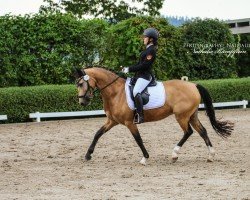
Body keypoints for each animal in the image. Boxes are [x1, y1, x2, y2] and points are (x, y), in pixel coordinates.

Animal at [75, 66, 233, 165]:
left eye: (81, 83)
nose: (82, 102)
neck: (115, 92)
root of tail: (193, 85)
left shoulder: (129, 123)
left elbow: (138, 139)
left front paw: (145, 158)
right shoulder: (112, 121)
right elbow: (98, 134)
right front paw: (88, 155)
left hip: (181, 116)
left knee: (188, 132)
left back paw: (174, 154)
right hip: (192, 115)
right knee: (202, 131)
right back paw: (210, 155)